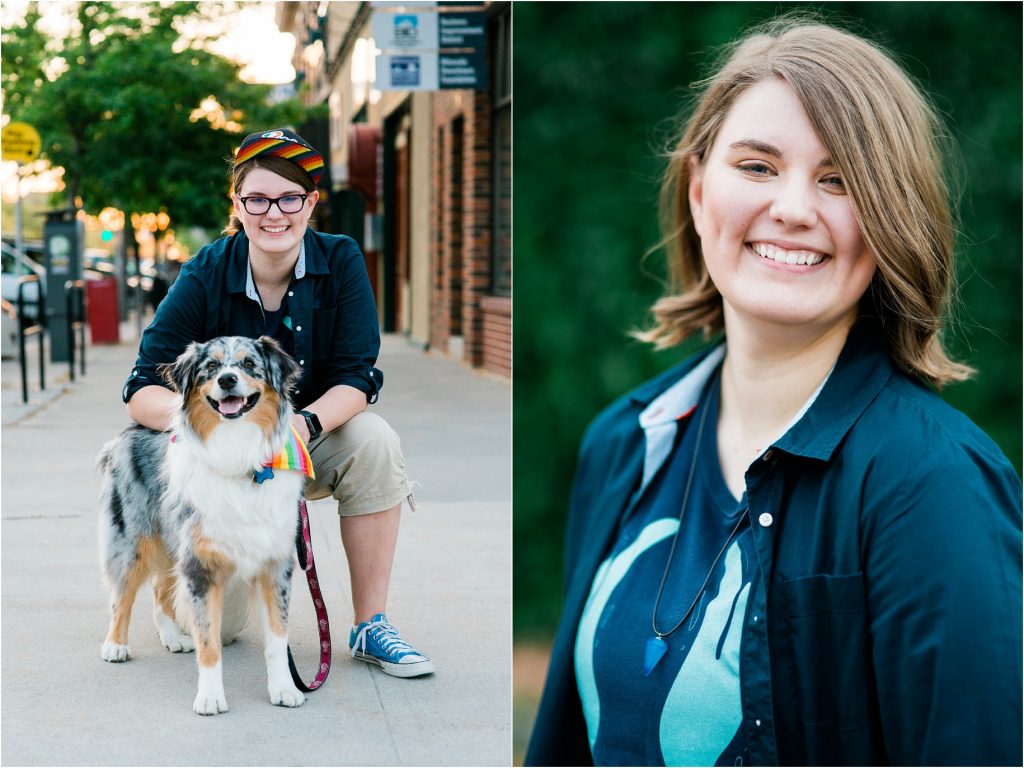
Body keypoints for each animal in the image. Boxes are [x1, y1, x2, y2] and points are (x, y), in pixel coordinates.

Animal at [99, 335, 307, 716]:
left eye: (249, 364)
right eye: (211, 367)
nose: (227, 379)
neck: (237, 450)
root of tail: (129, 431)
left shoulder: (275, 564)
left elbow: (277, 637)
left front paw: (284, 689)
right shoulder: (200, 567)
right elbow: (210, 642)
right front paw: (210, 697)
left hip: (172, 543)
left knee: (159, 590)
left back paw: (171, 637)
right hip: (133, 539)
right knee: (123, 593)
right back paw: (116, 645)